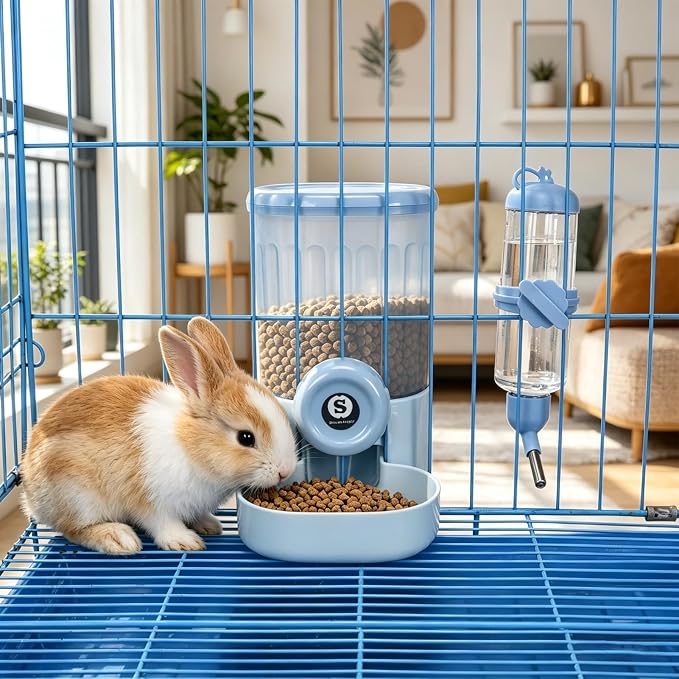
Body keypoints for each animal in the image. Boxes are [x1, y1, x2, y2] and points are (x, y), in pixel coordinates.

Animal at [20, 317, 298, 555]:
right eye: (246, 438)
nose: (285, 471)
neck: (190, 445)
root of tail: (29, 495)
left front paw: (209, 525)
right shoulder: (151, 501)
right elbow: (162, 523)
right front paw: (185, 541)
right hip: (76, 493)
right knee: (73, 529)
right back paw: (118, 538)